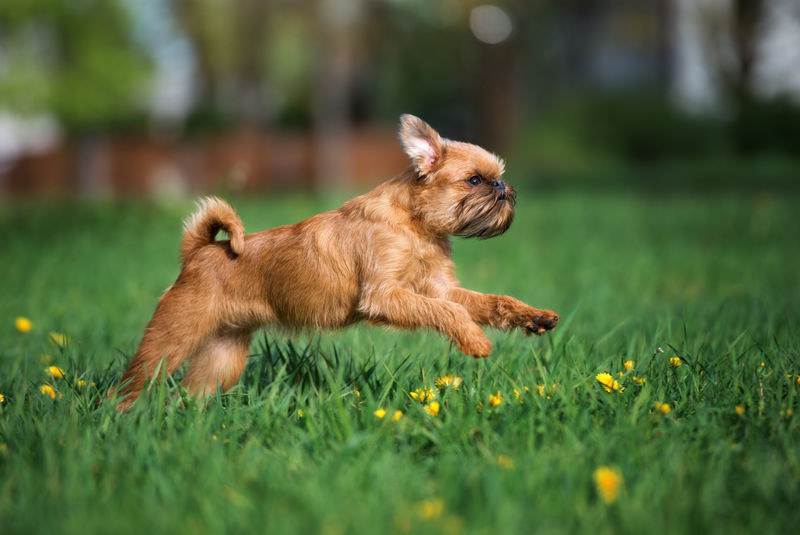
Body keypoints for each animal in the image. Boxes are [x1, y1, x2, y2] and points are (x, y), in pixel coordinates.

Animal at [112, 115, 560, 410]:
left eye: (495, 177)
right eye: (474, 180)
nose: (503, 186)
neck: (416, 226)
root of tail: (199, 251)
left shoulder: (443, 288)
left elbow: (488, 302)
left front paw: (534, 316)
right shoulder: (386, 296)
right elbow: (446, 312)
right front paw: (475, 340)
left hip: (222, 357)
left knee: (189, 394)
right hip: (170, 340)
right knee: (128, 387)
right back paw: (123, 422)